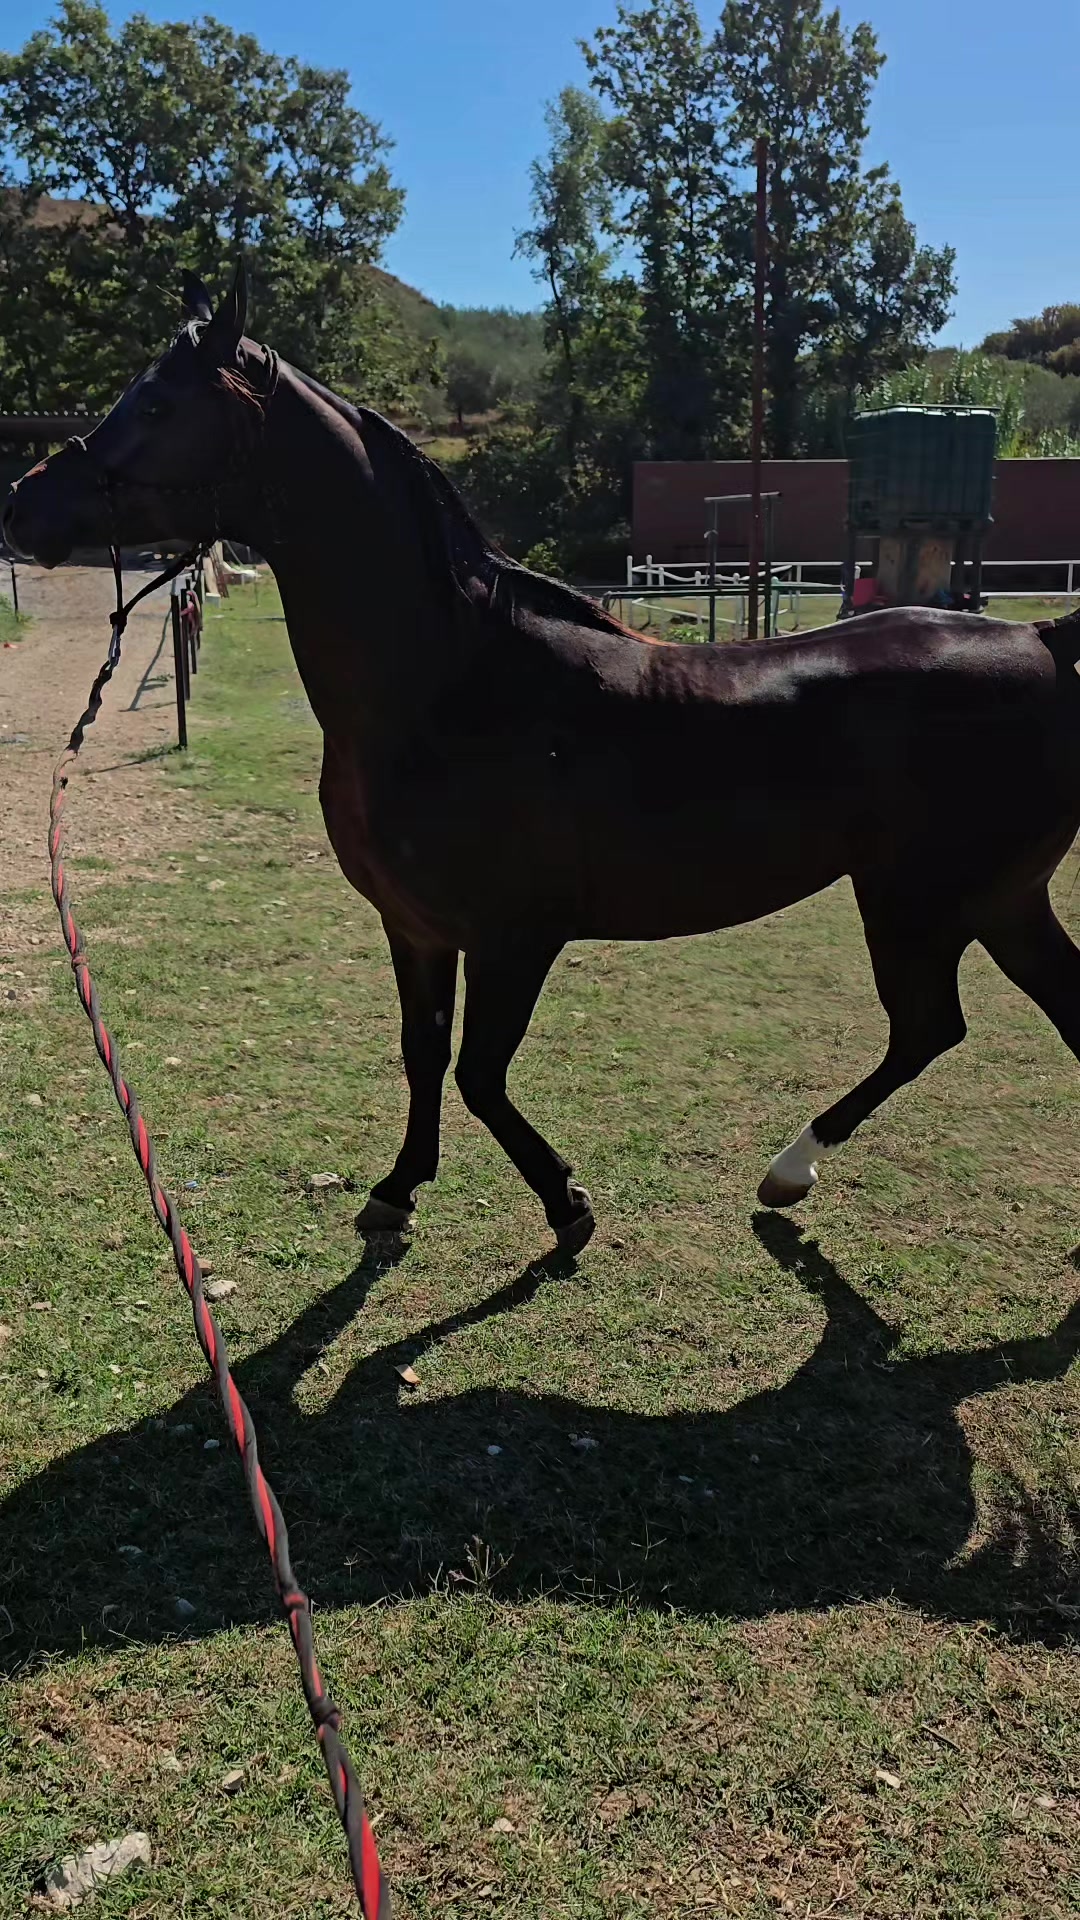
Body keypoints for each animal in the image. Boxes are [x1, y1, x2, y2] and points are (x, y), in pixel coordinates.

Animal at [7, 266, 1080, 1257]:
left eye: (157, 403)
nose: (24, 506)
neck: (450, 688)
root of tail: (1040, 640)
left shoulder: (515, 937)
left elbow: (481, 1074)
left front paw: (567, 1206)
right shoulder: (418, 929)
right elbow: (423, 1054)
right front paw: (398, 1190)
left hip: (919, 901)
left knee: (927, 1027)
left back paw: (789, 1169)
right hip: (996, 900)